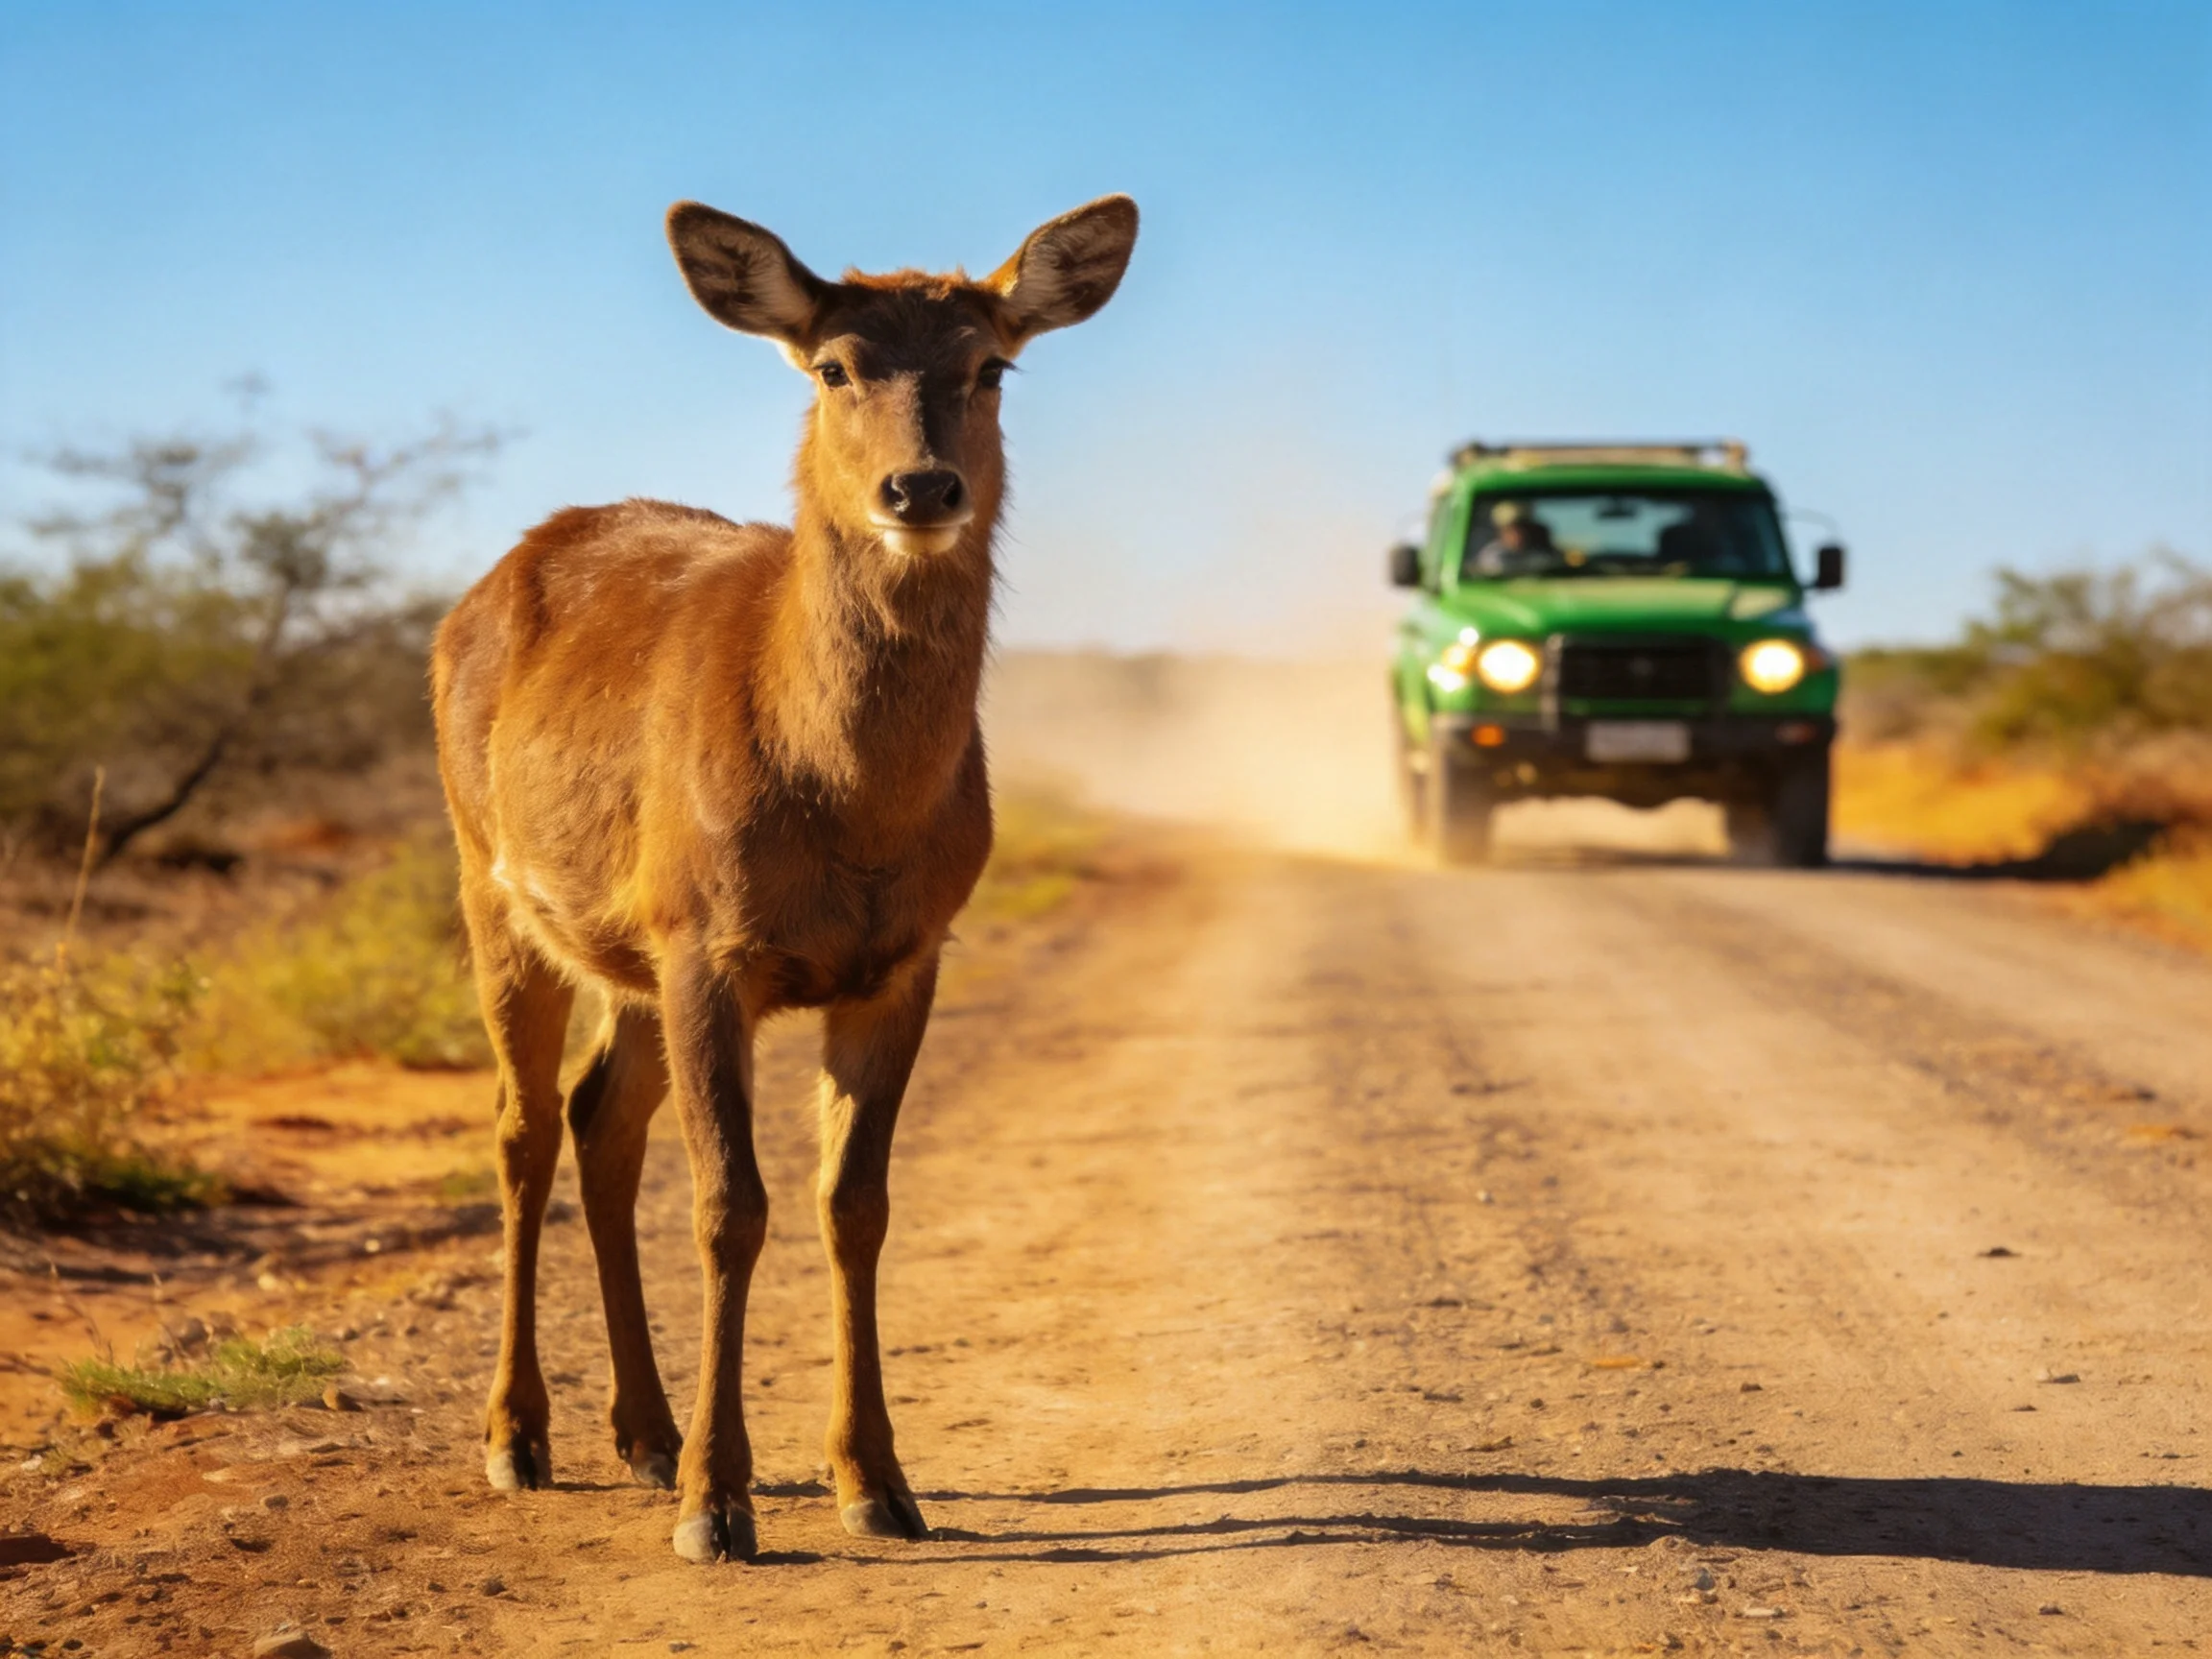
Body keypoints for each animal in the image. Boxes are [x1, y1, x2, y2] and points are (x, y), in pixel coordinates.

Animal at [429, 194, 1138, 1563]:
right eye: (834, 366)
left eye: (991, 365)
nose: (921, 486)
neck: (847, 803)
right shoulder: (711, 941)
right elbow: (729, 1206)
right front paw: (720, 1508)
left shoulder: (902, 957)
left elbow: (851, 1204)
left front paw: (879, 1485)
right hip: (493, 885)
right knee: (522, 1126)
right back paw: (518, 1440)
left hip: (630, 954)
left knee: (600, 1119)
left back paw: (642, 1435)